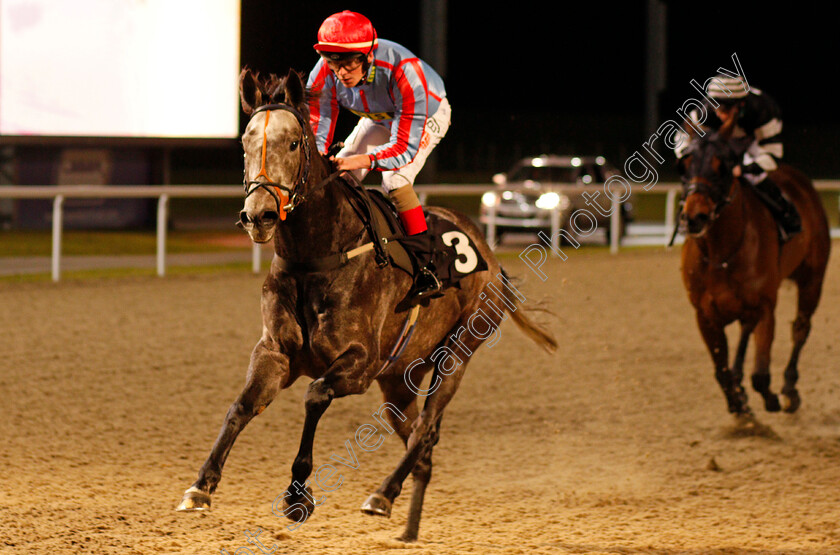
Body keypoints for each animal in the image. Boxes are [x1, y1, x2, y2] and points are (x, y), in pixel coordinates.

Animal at [176, 70, 556, 544]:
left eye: (294, 143)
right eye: (245, 142)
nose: (258, 215)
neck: (317, 255)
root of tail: (489, 254)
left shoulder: (360, 363)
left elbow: (315, 395)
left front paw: (298, 494)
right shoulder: (275, 353)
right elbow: (242, 406)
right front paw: (201, 486)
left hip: (458, 352)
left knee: (426, 429)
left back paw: (382, 494)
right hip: (399, 378)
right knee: (418, 439)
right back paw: (406, 522)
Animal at [680, 121, 832, 416]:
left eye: (723, 166)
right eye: (686, 162)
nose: (695, 217)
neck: (721, 253)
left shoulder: (764, 307)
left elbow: (761, 375)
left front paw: (770, 398)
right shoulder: (704, 315)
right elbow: (722, 371)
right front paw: (738, 402)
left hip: (813, 278)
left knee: (800, 328)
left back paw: (789, 388)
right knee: (745, 332)